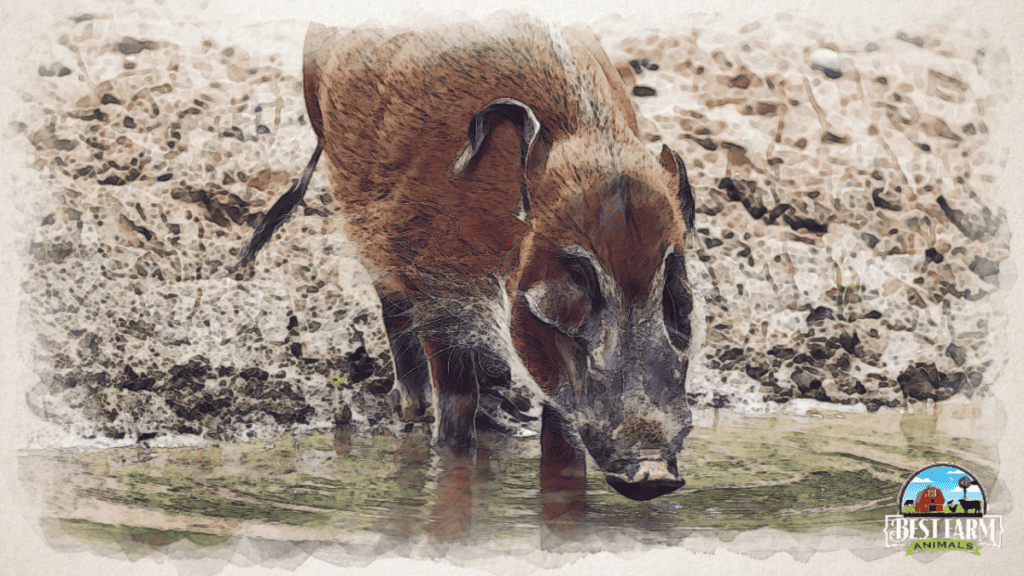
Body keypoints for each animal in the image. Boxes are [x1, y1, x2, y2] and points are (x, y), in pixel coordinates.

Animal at [240, 17, 704, 498]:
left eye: (674, 284)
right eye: (578, 274)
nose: (651, 472)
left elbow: (560, 448)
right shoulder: (434, 286)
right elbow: (455, 420)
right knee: (393, 311)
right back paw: (417, 407)